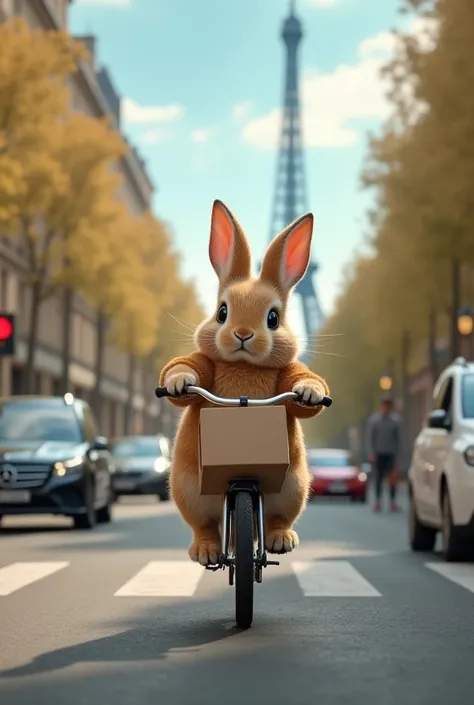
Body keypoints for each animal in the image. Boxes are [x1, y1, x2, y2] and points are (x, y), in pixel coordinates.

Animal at [159, 199, 330, 568]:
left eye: (273, 318)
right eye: (221, 312)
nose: (242, 334)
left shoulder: (287, 373)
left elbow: (300, 388)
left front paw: (311, 390)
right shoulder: (205, 364)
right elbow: (188, 369)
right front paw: (179, 380)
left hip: (294, 487)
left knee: (277, 519)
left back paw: (281, 539)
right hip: (188, 491)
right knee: (205, 525)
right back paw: (206, 549)